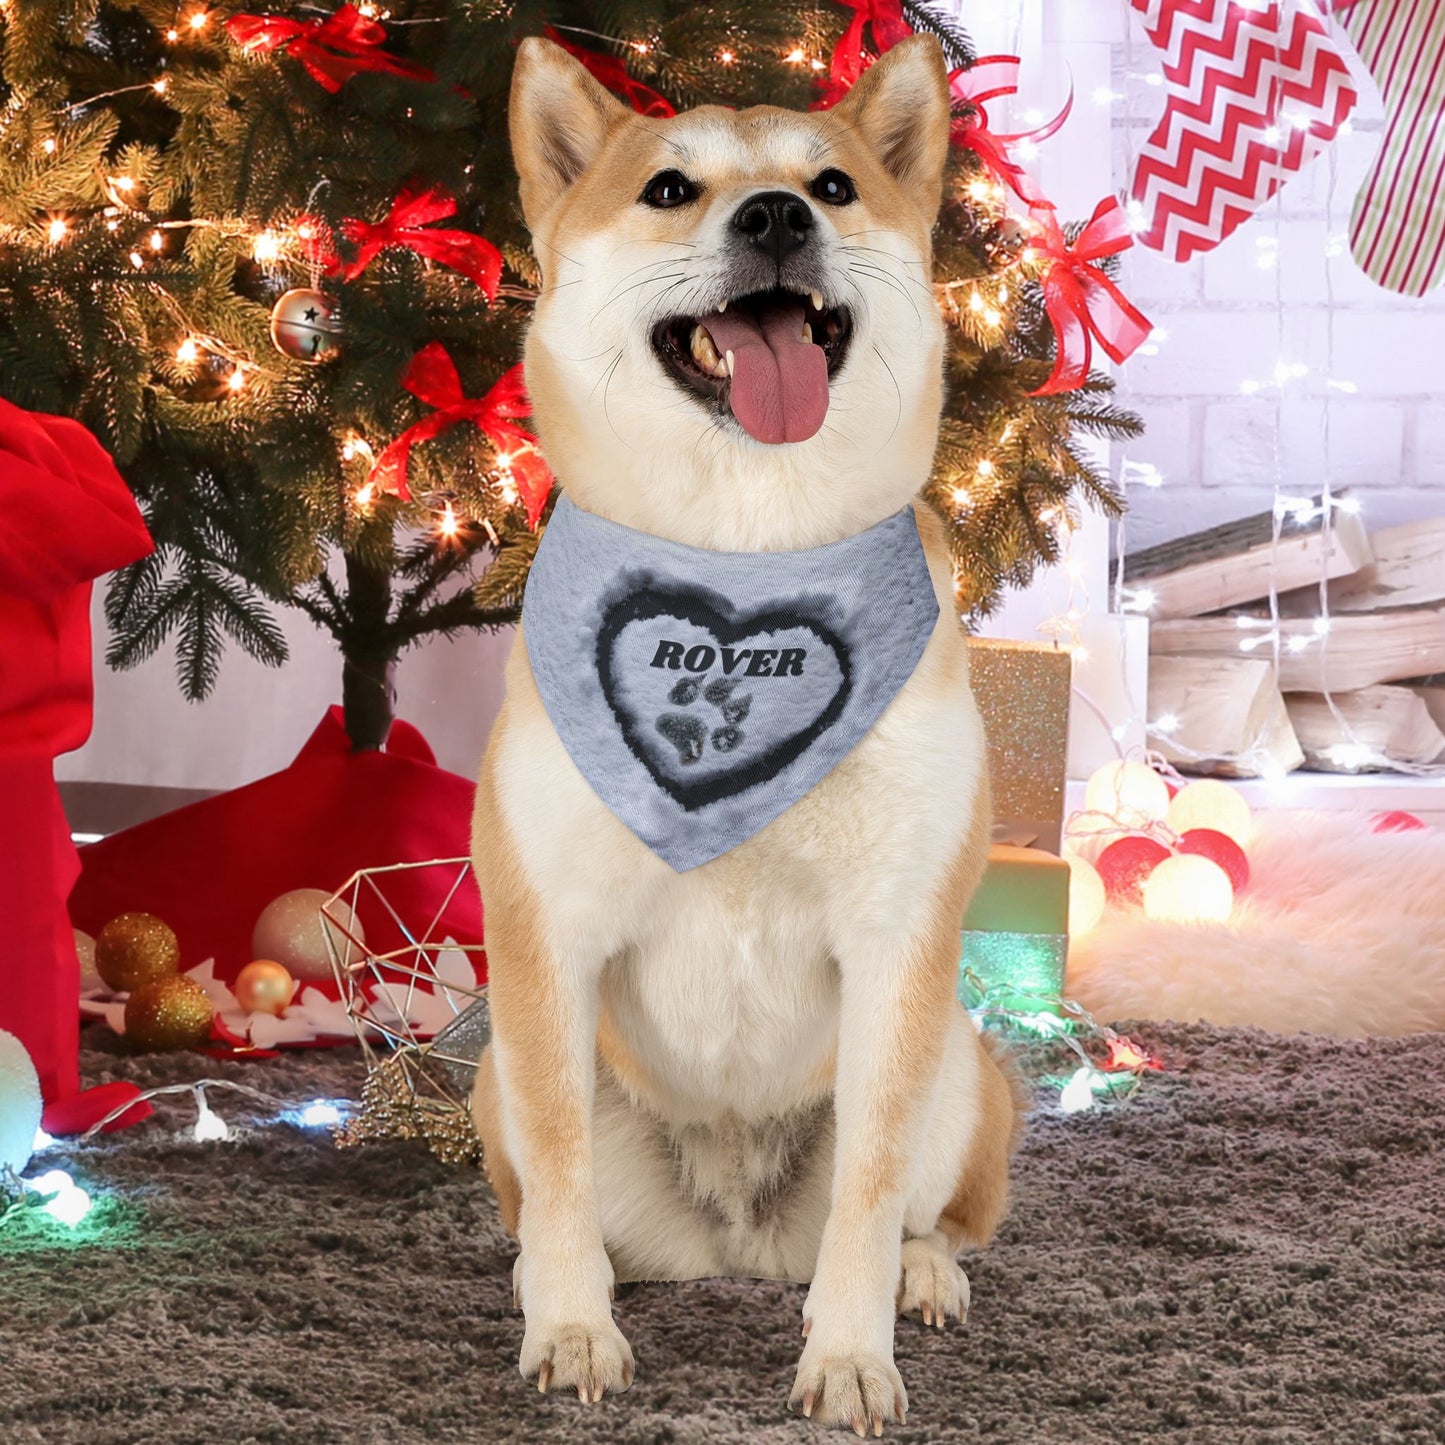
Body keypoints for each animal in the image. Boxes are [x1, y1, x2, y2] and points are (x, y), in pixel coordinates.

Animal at [471, 31, 1028, 1433]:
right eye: (669, 188)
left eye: (830, 184)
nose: (774, 215)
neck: (742, 561)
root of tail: (731, 1236)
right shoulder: (546, 933)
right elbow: (560, 1171)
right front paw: (571, 1324)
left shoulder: (897, 939)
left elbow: (870, 1187)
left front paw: (850, 1351)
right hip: (493, 1071)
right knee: (547, 1192)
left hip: (962, 1066)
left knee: (928, 1210)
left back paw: (923, 1273)